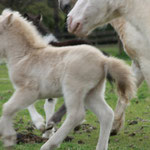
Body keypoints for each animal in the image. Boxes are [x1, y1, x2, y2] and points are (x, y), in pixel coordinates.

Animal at [0, 9, 135, 150]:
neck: (25, 55)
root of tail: (104, 60)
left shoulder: (29, 91)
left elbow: (8, 107)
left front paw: (10, 138)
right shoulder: (25, 90)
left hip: (73, 89)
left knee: (76, 114)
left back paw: (50, 144)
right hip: (91, 93)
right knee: (106, 114)